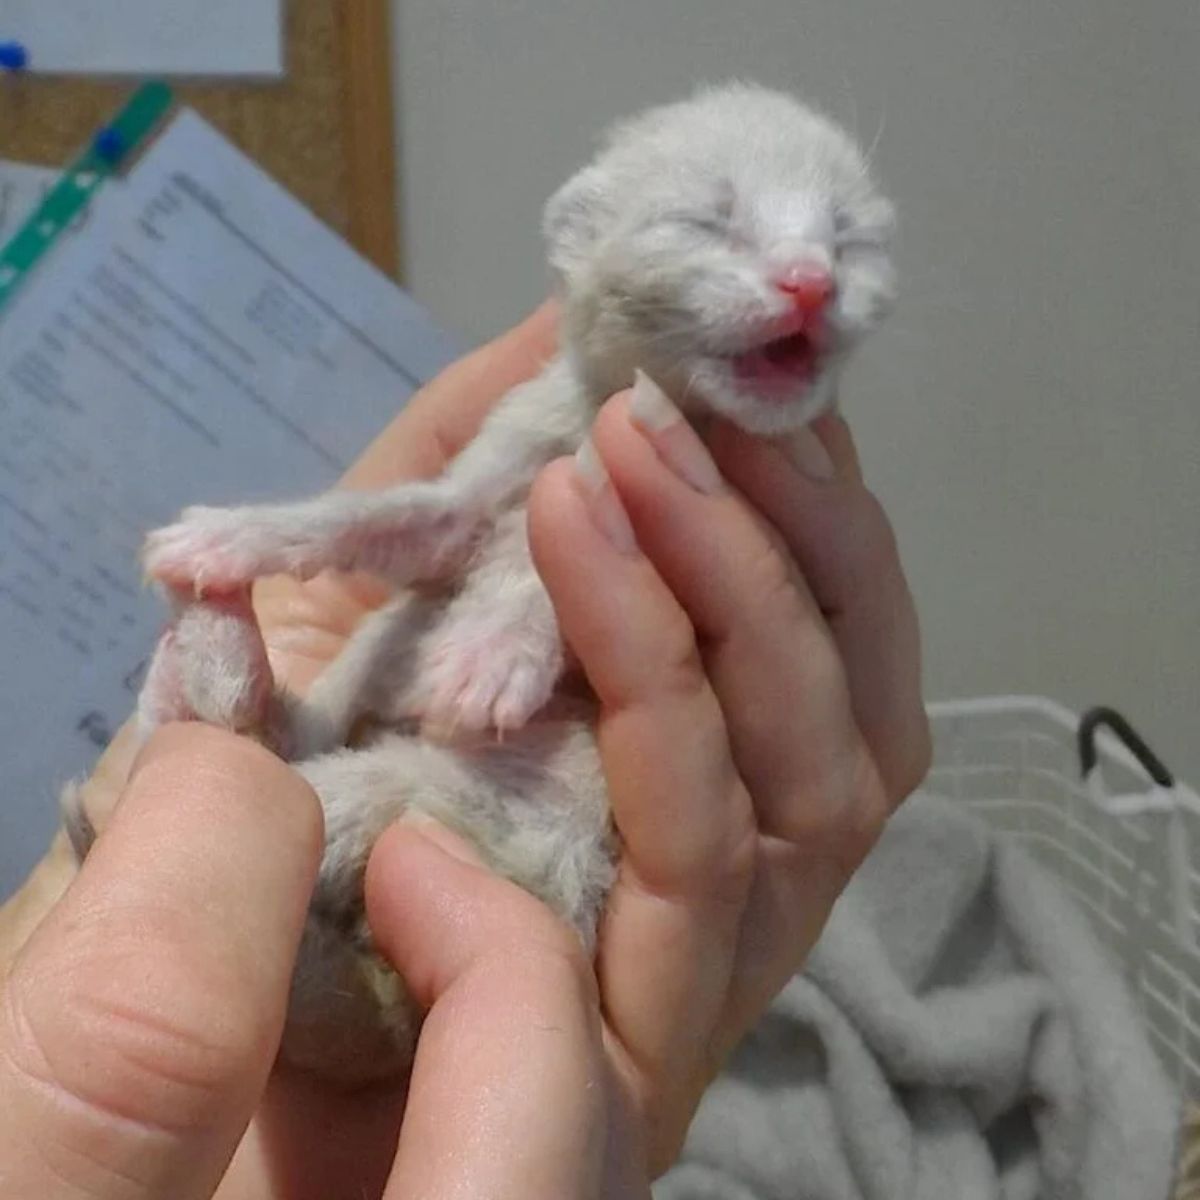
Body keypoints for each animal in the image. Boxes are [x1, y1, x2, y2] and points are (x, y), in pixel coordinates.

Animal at [65, 79, 897, 1084]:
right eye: (709, 219)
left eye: (849, 237)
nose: (811, 281)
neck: (606, 422)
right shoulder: (489, 471)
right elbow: (390, 521)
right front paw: (229, 535)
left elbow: (553, 570)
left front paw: (491, 654)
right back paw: (212, 658)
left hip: (511, 805)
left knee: (328, 795)